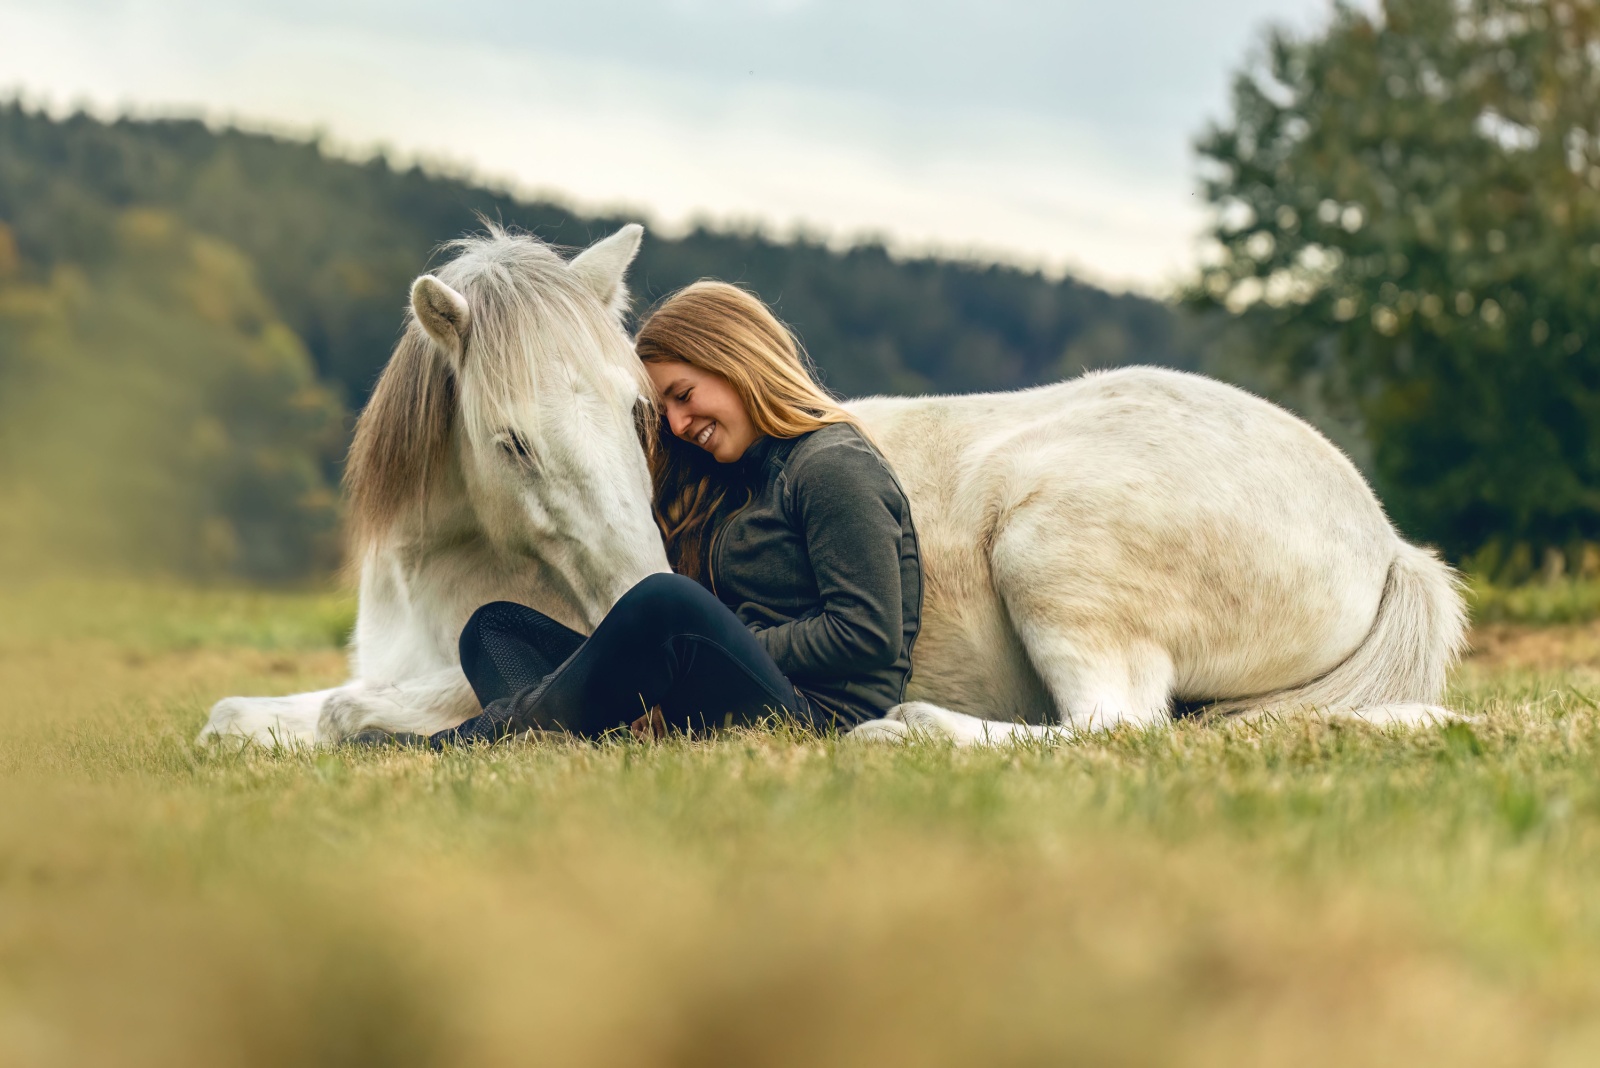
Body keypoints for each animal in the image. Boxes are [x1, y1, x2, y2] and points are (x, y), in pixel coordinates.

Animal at [196, 225, 1465, 748]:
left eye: (637, 410)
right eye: (510, 443)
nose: (641, 587)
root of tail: (1381, 540)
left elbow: (355, 713)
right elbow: (249, 713)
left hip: (1057, 562)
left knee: (1111, 729)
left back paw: (911, 733)